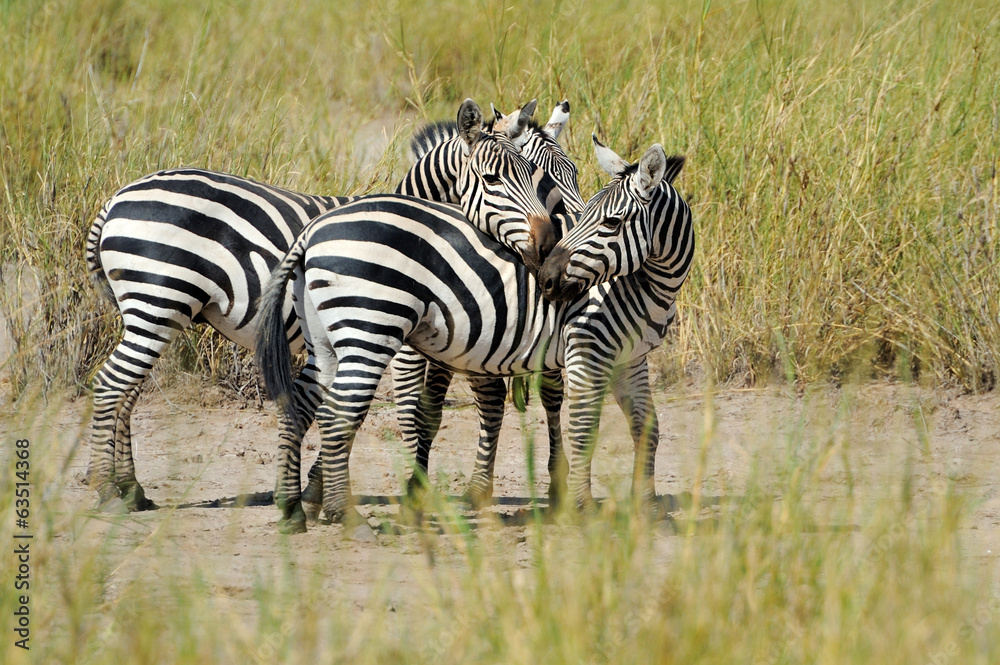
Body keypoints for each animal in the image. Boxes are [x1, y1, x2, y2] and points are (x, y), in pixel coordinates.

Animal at [84, 98, 560, 513]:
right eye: (494, 180)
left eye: (538, 177)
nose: (548, 245)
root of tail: (116, 199)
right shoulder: (401, 337)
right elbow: (410, 411)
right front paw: (399, 491)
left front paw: (312, 490)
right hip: (157, 302)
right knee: (112, 384)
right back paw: (106, 490)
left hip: (150, 312)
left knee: (127, 391)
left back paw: (131, 488)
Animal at [255, 138, 693, 531]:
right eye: (590, 217)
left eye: (611, 222)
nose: (547, 280)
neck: (644, 283)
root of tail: (314, 228)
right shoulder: (589, 348)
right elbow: (585, 430)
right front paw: (584, 512)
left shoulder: (631, 358)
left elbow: (647, 428)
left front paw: (648, 506)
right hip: (371, 327)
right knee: (337, 415)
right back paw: (344, 516)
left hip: (326, 340)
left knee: (302, 406)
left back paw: (292, 509)